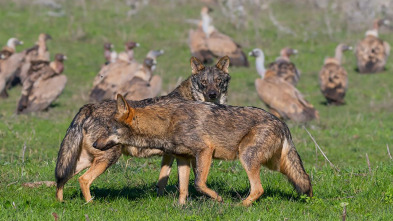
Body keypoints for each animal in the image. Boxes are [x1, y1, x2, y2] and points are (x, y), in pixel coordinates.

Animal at [54, 55, 231, 204]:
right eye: (204, 82)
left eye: (218, 80)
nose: (213, 94)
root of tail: (88, 107)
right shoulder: (193, 153)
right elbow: (198, 178)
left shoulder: (170, 155)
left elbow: (163, 180)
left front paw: (161, 198)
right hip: (106, 158)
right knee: (83, 180)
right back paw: (90, 204)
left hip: (82, 160)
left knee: (61, 178)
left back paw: (60, 203)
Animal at [92, 93, 312, 205]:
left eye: (109, 128)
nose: (94, 145)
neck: (167, 124)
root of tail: (282, 123)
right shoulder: (182, 159)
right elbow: (183, 188)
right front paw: (180, 207)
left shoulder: (205, 151)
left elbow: (199, 184)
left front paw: (218, 198)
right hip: (277, 165)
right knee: (302, 179)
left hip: (247, 158)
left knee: (258, 189)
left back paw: (238, 206)